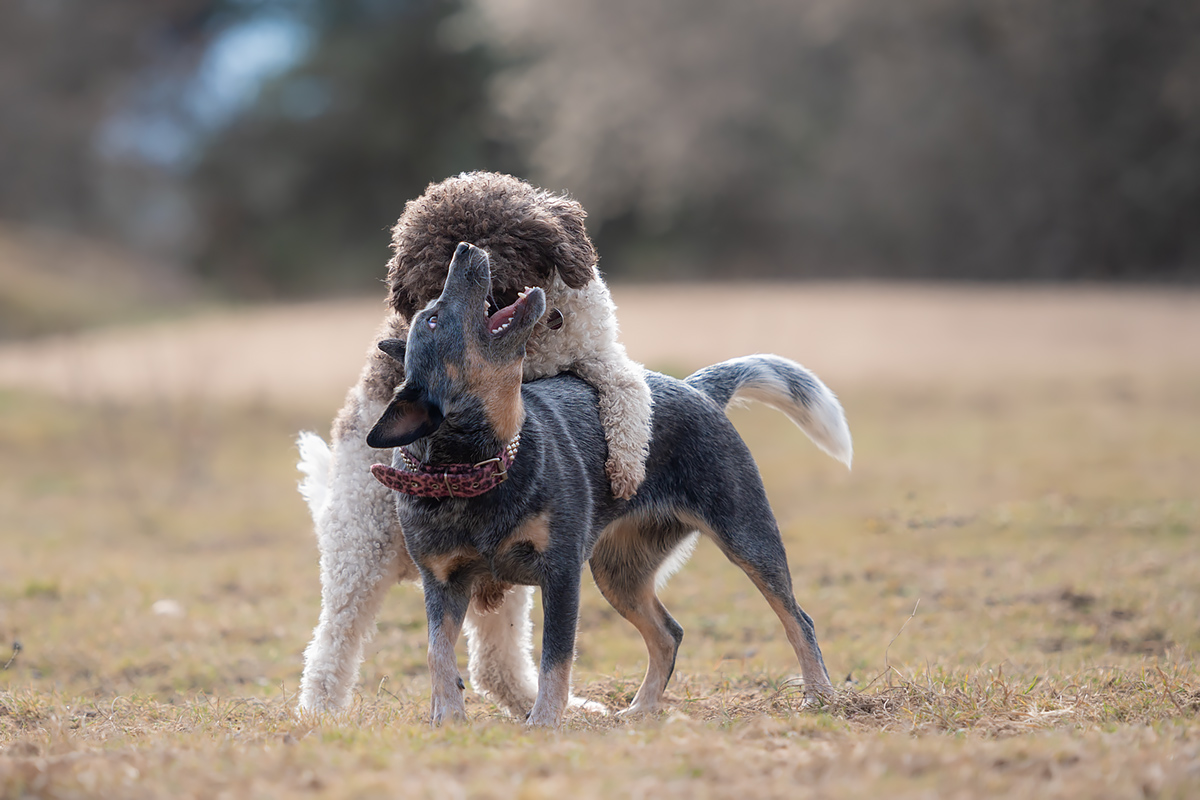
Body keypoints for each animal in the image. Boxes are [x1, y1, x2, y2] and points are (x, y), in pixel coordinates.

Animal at [296, 172, 652, 714]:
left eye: (500, 237)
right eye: (434, 269)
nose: (467, 254)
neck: (534, 347)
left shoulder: (597, 350)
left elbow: (628, 385)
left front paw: (628, 463)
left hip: (495, 572)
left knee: (493, 661)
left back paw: (539, 702)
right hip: (361, 546)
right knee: (333, 641)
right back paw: (318, 711)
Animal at [369, 242, 849, 724]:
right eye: (432, 319)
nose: (466, 249)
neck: (478, 466)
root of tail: (697, 388)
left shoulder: (561, 573)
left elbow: (555, 659)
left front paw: (544, 722)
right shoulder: (442, 583)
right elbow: (437, 651)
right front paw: (448, 719)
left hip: (747, 536)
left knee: (797, 619)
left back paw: (820, 696)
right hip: (620, 572)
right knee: (669, 633)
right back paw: (640, 710)